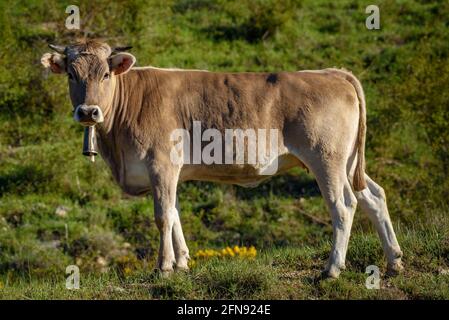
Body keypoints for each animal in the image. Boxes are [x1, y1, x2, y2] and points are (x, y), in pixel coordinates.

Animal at [40, 40, 402, 278]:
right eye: (71, 75)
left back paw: (332, 268)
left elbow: (162, 217)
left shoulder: (161, 164)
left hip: (327, 159)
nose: (88, 111)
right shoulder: (170, 172)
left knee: (343, 205)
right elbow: (174, 214)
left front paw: (163, 267)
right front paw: (182, 263)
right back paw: (394, 261)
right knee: (373, 196)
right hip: (349, 162)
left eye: (105, 75)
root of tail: (333, 73)